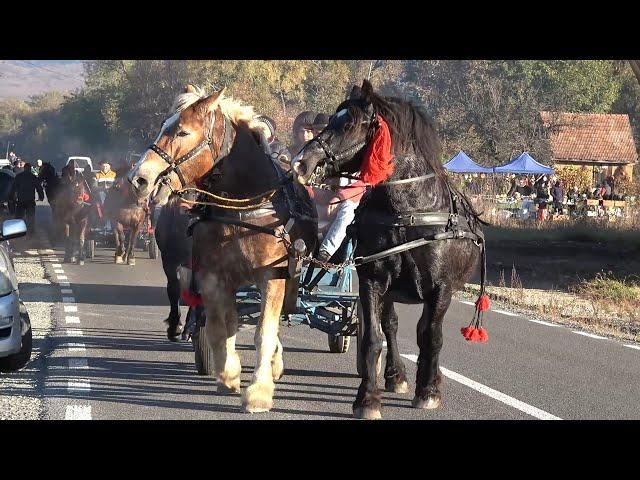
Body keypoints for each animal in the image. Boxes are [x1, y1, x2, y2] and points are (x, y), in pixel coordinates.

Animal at [126, 84, 316, 410]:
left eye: (182, 132)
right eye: (164, 125)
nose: (139, 178)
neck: (244, 209)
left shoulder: (272, 277)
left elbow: (264, 331)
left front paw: (258, 391)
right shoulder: (213, 277)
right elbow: (220, 326)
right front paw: (228, 374)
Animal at [292, 80, 488, 418]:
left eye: (350, 124)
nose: (302, 162)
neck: (408, 213)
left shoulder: (441, 288)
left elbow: (430, 336)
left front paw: (429, 390)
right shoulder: (373, 280)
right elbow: (374, 337)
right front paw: (367, 399)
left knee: (425, 332)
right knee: (391, 326)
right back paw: (396, 375)